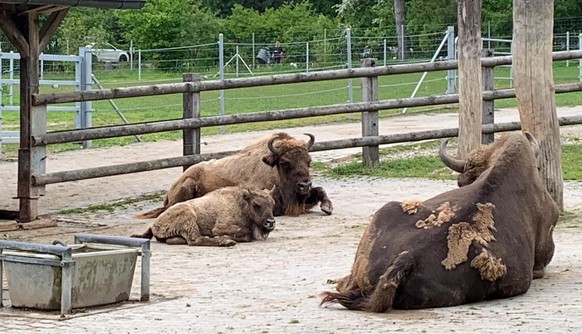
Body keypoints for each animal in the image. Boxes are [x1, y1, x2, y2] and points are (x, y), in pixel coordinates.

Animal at [137, 133, 336, 219]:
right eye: (285, 162)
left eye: (309, 161)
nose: (304, 185)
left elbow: (320, 190)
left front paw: (327, 207)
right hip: (187, 187)